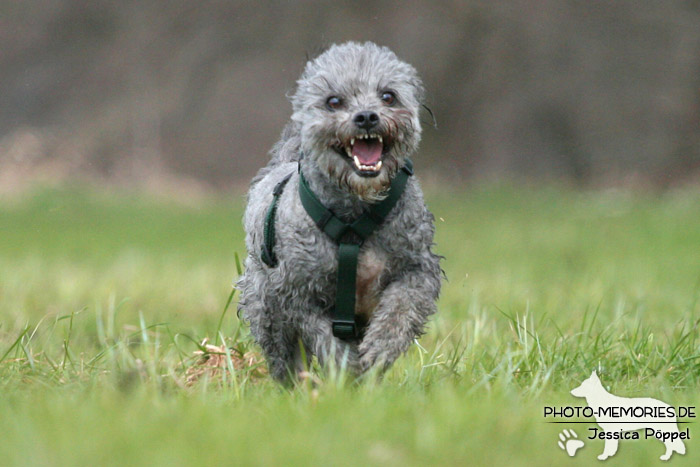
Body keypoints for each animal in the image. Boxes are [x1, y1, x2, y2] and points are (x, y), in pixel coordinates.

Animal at [238, 41, 440, 384]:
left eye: (388, 95)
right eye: (333, 101)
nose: (367, 116)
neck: (354, 218)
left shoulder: (417, 270)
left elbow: (401, 308)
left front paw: (380, 349)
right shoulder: (298, 293)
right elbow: (325, 339)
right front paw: (346, 372)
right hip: (266, 309)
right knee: (284, 355)